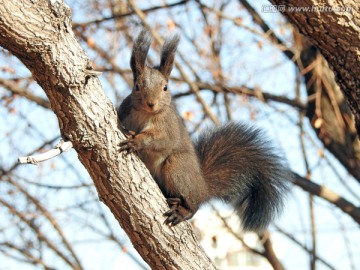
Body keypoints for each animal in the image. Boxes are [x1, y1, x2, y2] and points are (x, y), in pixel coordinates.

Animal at [118, 29, 290, 232]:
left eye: (165, 87)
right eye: (137, 86)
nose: (151, 103)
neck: (145, 114)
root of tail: (203, 187)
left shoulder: (168, 126)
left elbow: (163, 141)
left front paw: (136, 141)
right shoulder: (124, 111)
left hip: (178, 169)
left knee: (194, 204)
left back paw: (183, 211)